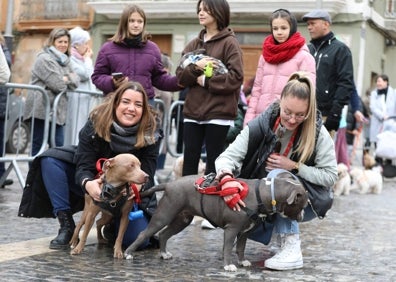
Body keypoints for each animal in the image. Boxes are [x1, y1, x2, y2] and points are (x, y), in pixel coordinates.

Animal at [125, 172, 308, 270]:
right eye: (303, 204)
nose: (302, 217)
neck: (262, 193)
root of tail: (169, 184)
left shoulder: (245, 231)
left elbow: (240, 248)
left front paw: (242, 262)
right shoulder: (232, 229)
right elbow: (227, 248)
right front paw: (228, 266)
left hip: (182, 219)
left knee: (163, 235)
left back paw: (163, 254)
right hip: (164, 215)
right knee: (144, 233)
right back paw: (127, 253)